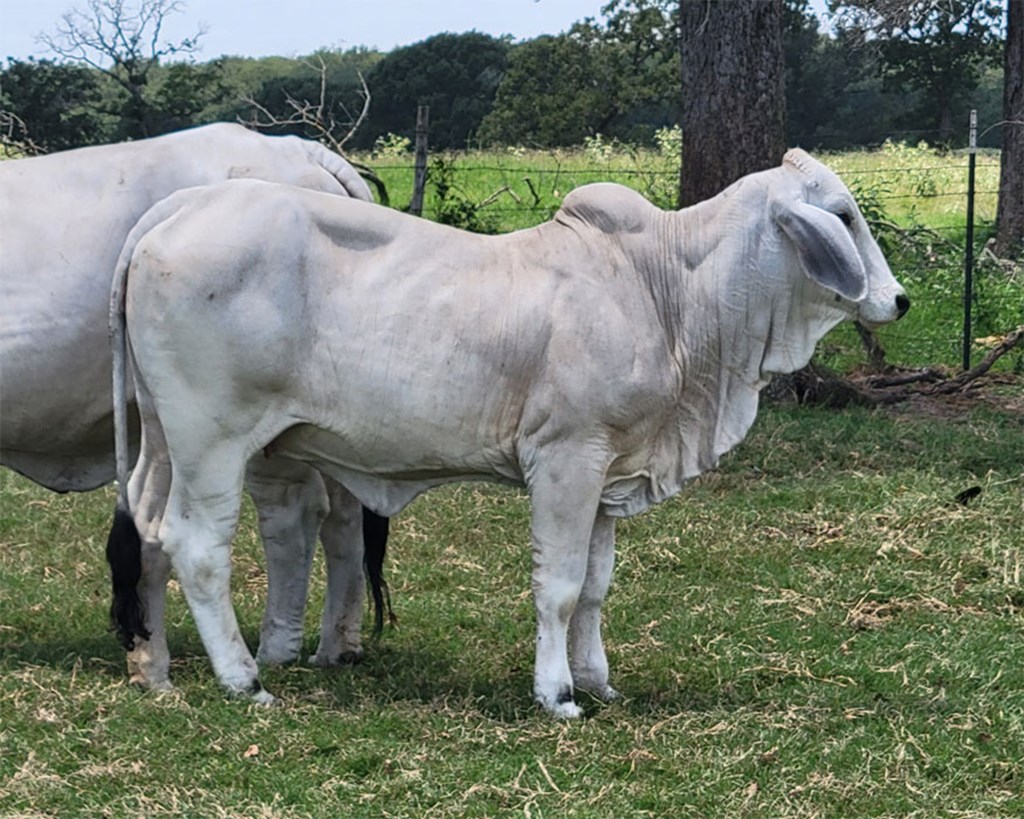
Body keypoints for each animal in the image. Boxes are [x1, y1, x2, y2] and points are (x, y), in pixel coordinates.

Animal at [105, 148, 905, 716]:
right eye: (843, 214)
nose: (896, 300)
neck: (668, 287)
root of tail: (179, 207)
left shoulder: (609, 474)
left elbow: (596, 588)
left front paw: (597, 680)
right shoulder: (566, 459)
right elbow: (560, 585)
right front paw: (557, 693)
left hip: (164, 440)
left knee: (148, 532)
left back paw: (159, 670)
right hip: (213, 440)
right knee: (198, 547)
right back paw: (242, 679)